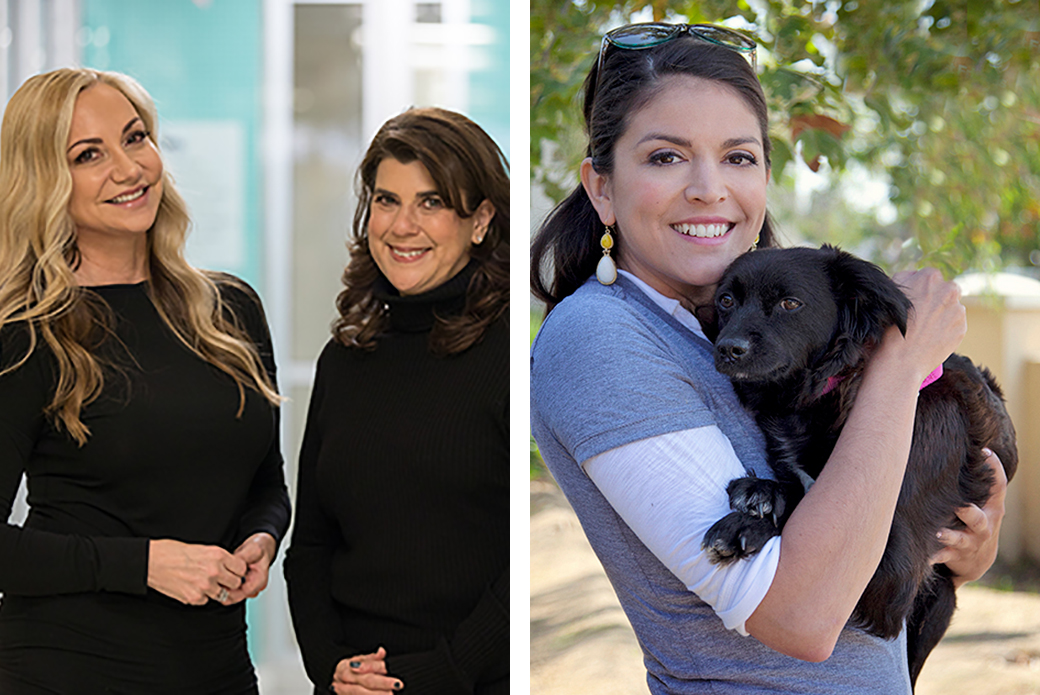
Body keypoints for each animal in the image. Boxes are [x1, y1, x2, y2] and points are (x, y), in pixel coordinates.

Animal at [698, 244, 1015, 682]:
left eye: (789, 303)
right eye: (727, 300)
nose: (729, 348)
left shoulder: (896, 569)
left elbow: (805, 507)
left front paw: (745, 524)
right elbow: (800, 488)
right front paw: (764, 492)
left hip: (937, 600)